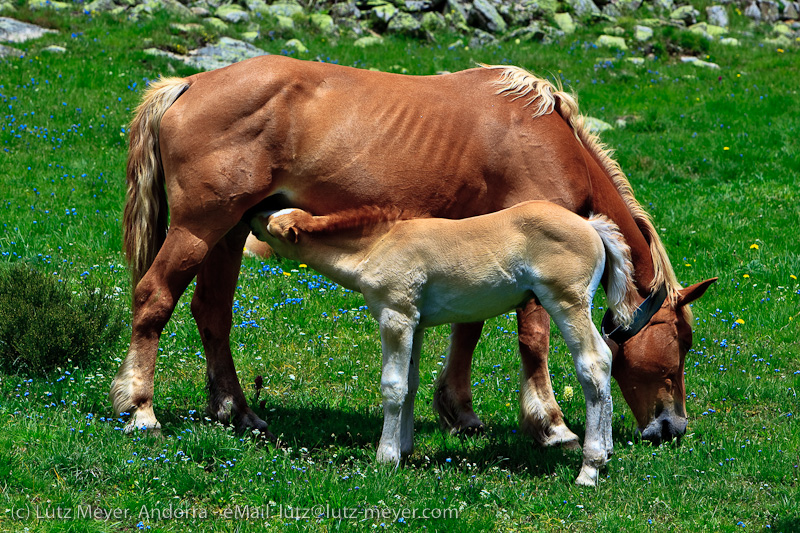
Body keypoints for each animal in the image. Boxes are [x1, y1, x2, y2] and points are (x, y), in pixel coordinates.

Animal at [109, 54, 716, 446]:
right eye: (681, 343)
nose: (673, 428)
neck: (542, 136)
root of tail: (188, 84)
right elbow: (533, 340)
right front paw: (550, 423)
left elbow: (468, 328)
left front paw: (458, 411)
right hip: (199, 228)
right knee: (154, 298)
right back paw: (140, 409)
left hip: (230, 231)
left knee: (212, 312)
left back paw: (237, 412)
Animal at [250, 201, 636, 486]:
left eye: (273, 224)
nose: (253, 214)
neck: (378, 245)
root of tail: (591, 226)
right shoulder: (415, 323)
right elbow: (410, 383)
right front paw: (404, 448)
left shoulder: (396, 316)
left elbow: (392, 386)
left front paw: (385, 457)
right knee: (603, 360)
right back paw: (606, 454)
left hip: (566, 302)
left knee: (593, 363)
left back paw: (589, 469)